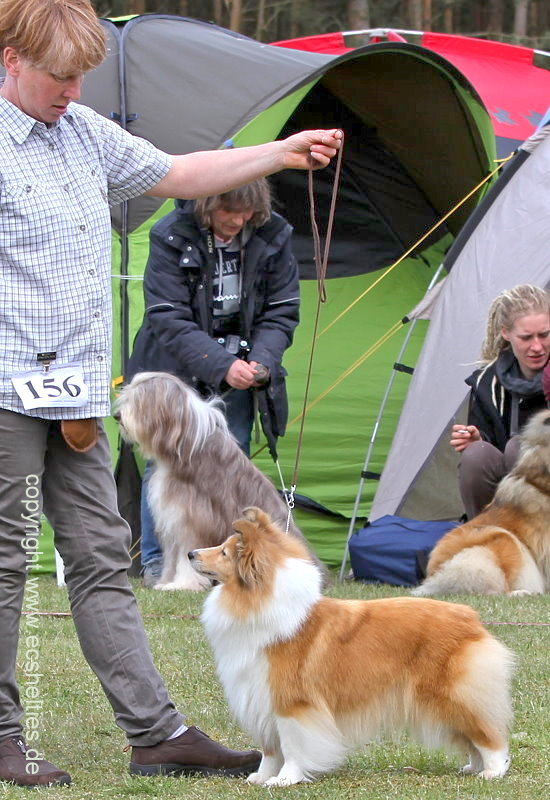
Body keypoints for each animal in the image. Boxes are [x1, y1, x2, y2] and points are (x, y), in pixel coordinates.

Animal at [113, 371, 326, 591]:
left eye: (139, 401)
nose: (117, 416)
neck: (184, 444)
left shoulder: (194, 518)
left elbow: (187, 554)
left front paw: (183, 584)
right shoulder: (172, 519)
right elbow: (173, 557)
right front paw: (165, 582)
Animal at [189, 506, 515, 786]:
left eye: (224, 552)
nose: (191, 553)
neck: (258, 601)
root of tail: (470, 617)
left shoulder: (291, 702)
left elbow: (292, 746)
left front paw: (285, 779)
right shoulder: (259, 695)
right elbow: (270, 749)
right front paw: (261, 777)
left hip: (454, 696)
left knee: (489, 736)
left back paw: (493, 771)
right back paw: (473, 767)